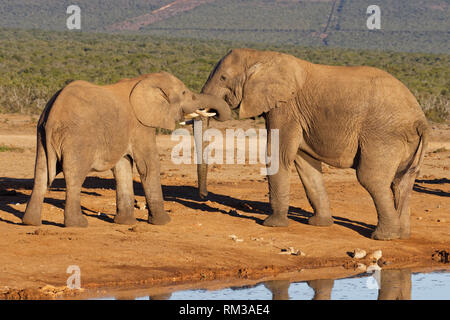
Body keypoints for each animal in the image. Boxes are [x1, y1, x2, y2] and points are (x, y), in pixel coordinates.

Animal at [22, 72, 230, 228]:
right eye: (186, 93)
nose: (204, 196)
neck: (144, 80)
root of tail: (53, 113)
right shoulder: (141, 125)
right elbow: (148, 165)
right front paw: (163, 222)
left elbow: (122, 167)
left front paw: (125, 222)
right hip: (78, 138)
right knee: (74, 175)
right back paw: (78, 224)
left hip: (41, 134)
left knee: (40, 173)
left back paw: (30, 223)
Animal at [200, 48, 428, 240]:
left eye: (223, 78)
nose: (203, 197)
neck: (261, 55)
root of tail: (420, 120)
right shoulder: (301, 117)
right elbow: (305, 163)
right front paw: (320, 224)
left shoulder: (286, 109)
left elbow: (279, 155)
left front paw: (271, 224)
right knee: (401, 182)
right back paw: (402, 235)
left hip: (383, 135)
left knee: (371, 178)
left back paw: (383, 237)